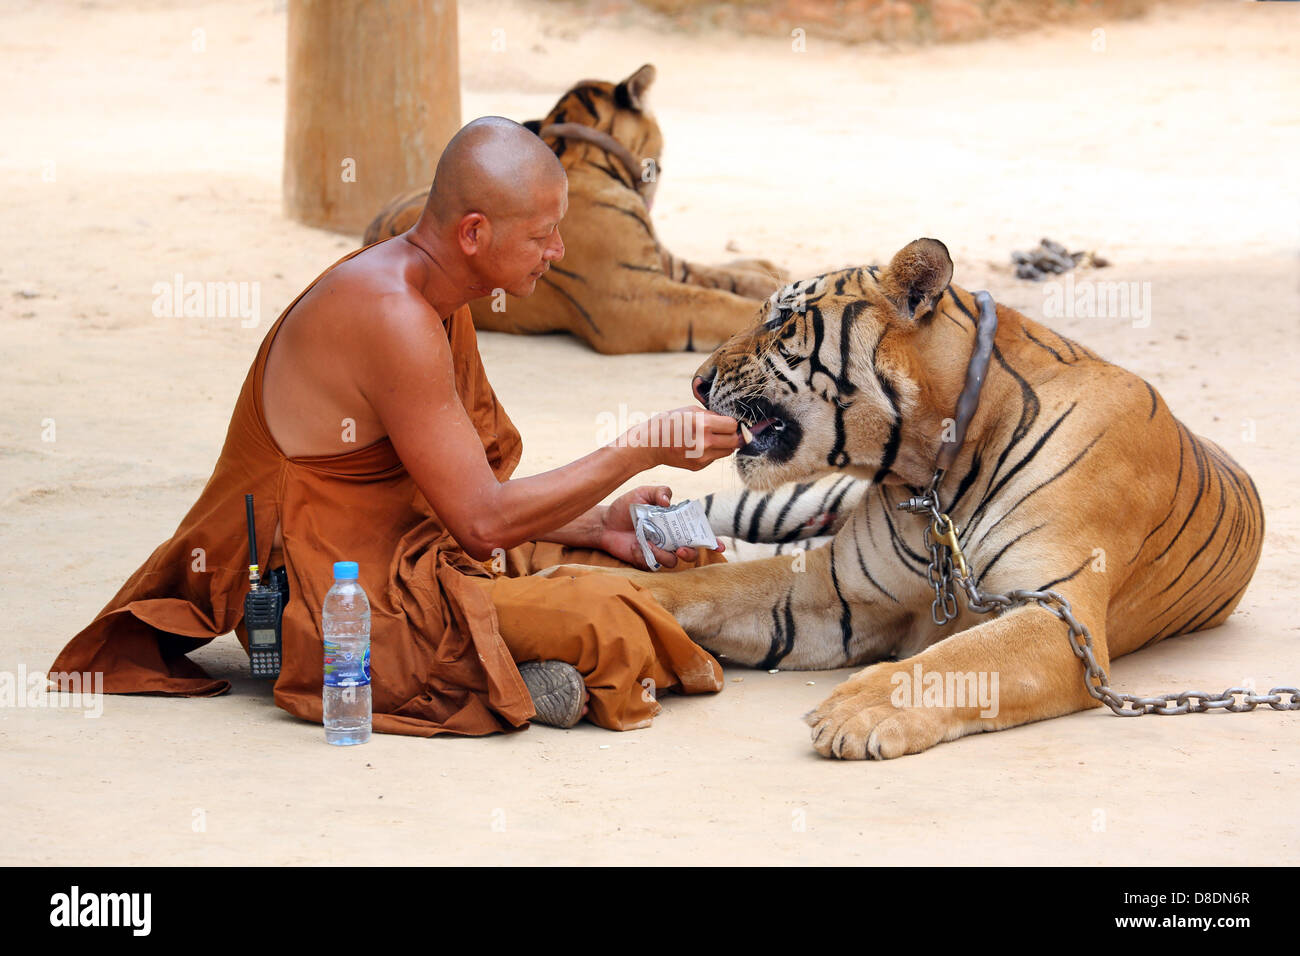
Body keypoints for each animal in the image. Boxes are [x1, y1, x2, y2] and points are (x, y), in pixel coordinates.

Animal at [543, 235, 1263, 759]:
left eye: (783, 321)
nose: (696, 383)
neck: (931, 473)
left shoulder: (1060, 614)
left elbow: (961, 656)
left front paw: (856, 710)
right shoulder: (835, 588)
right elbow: (705, 586)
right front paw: (582, 583)